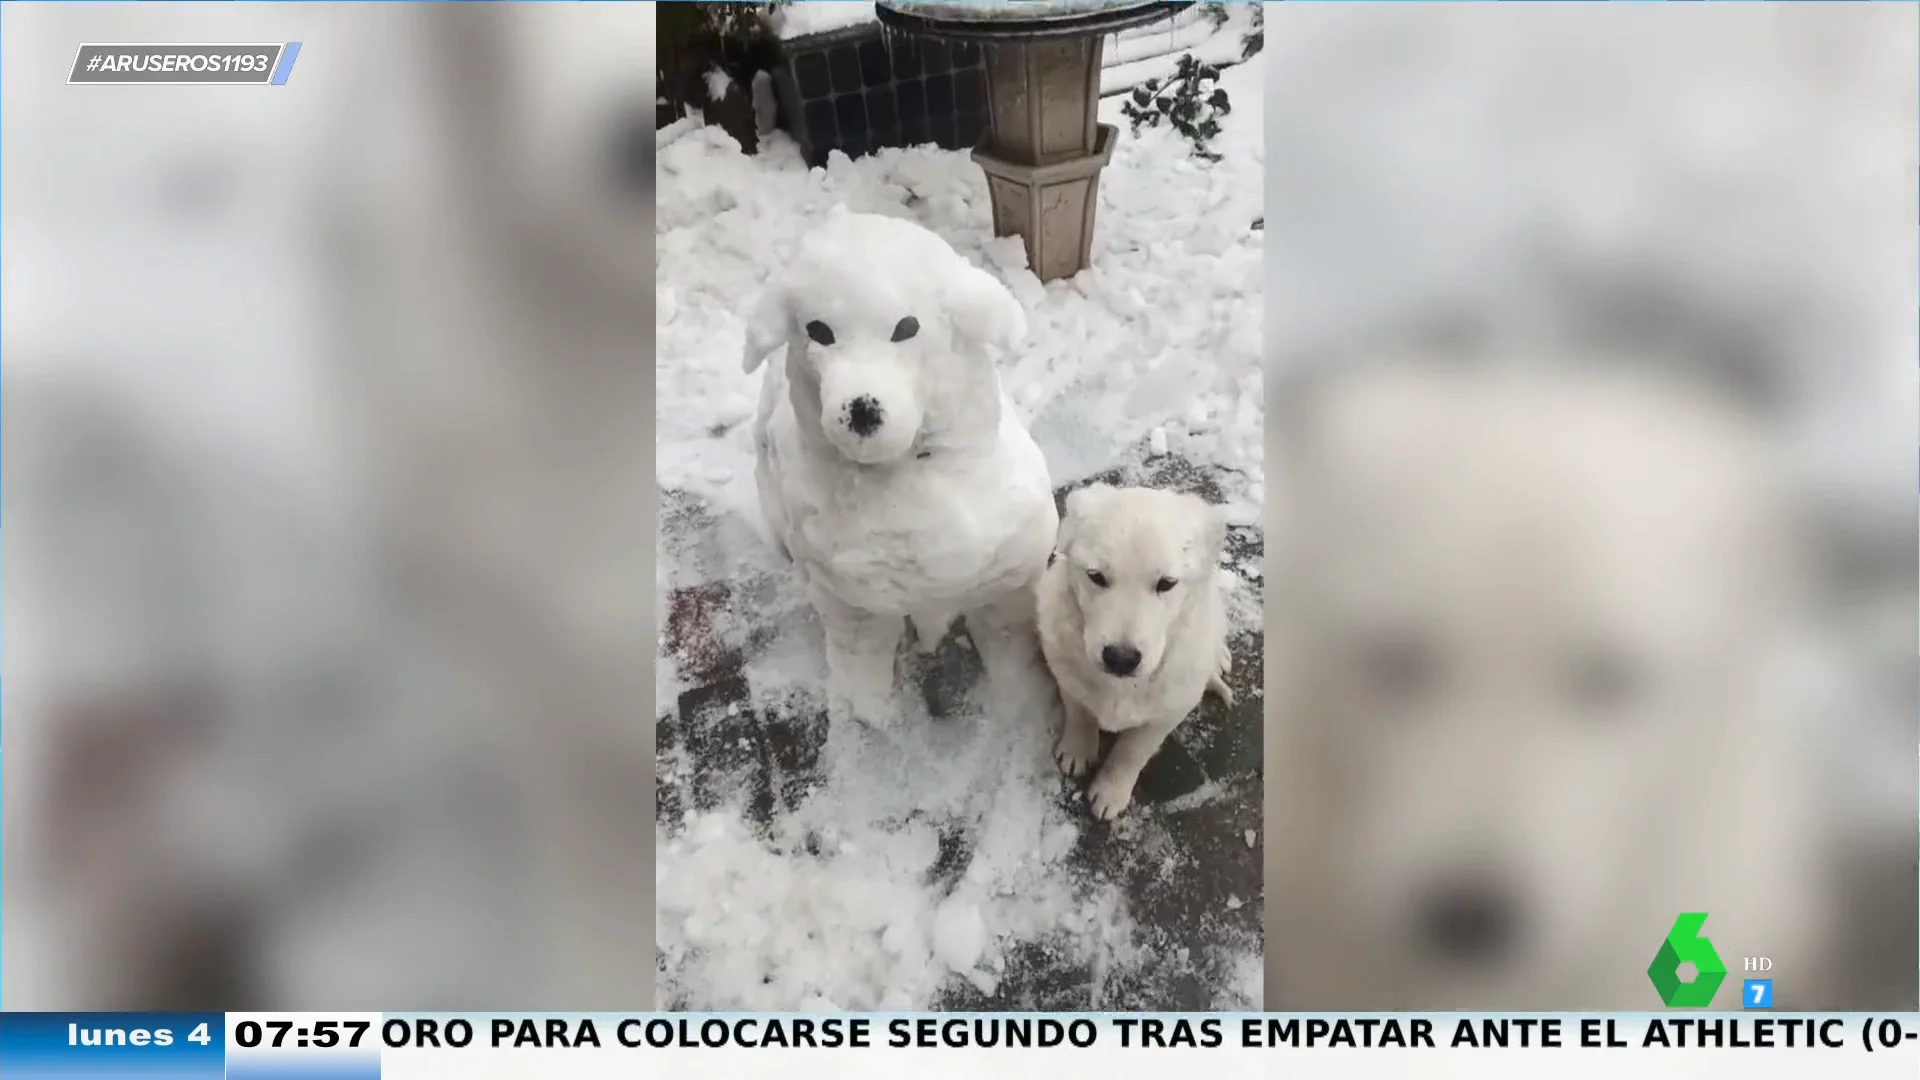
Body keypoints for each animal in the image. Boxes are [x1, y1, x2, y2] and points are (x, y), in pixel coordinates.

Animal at [737, 208, 1059, 730]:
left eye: (906, 327)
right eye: (819, 331)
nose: (862, 409)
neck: (906, 477)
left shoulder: (1006, 585)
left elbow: (1010, 643)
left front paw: (1023, 707)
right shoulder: (852, 602)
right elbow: (861, 652)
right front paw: (868, 713)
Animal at [1036, 480, 1228, 814]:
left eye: (1166, 583)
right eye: (1096, 576)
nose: (1121, 659)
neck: (1121, 687)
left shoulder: (1167, 714)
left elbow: (1132, 752)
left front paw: (1110, 792)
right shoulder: (1066, 675)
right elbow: (1079, 713)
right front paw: (1077, 751)